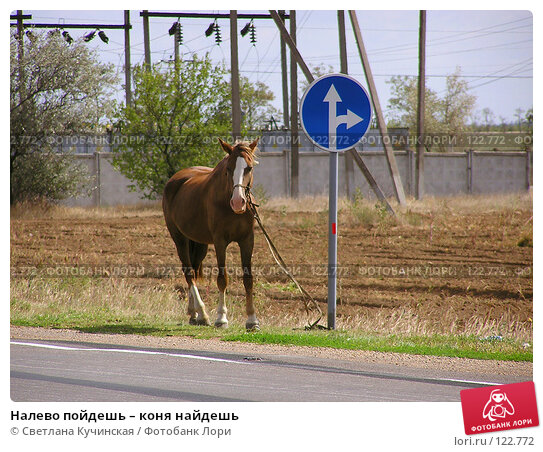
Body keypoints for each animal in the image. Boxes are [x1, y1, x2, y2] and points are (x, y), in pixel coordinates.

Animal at [163, 136, 260, 330]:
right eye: (228, 168)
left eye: (249, 167)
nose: (238, 202)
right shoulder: (220, 241)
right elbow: (222, 279)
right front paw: (221, 318)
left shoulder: (247, 240)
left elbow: (248, 278)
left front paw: (252, 320)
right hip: (179, 238)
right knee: (189, 273)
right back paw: (202, 313)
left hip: (199, 243)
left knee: (193, 270)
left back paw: (194, 314)